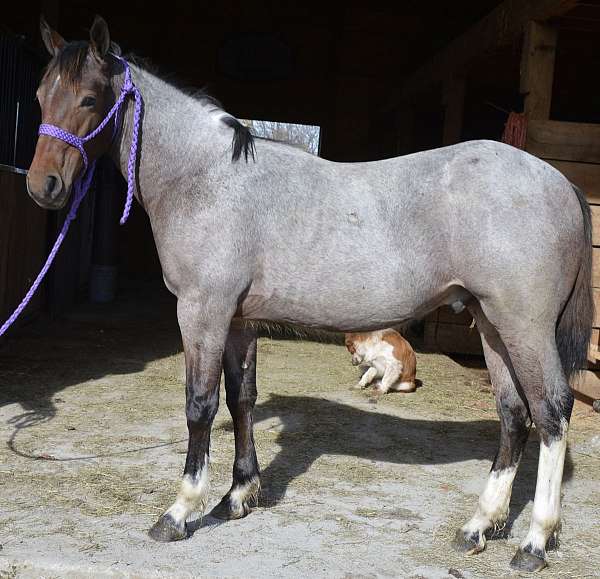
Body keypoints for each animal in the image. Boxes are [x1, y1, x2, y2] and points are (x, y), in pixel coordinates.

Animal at [25, 15, 592, 572]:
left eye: (89, 99)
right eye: (40, 96)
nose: (42, 186)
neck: (208, 179)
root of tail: (558, 182)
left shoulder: (202, 312)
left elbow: (200, 405)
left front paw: (180, 512)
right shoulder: (238, 321)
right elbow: (242, 398)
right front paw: (239, 496)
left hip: (523, 327)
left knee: (551, 413)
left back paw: (534, 543)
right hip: (491, 325)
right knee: (514, 415)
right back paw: (479, 527)